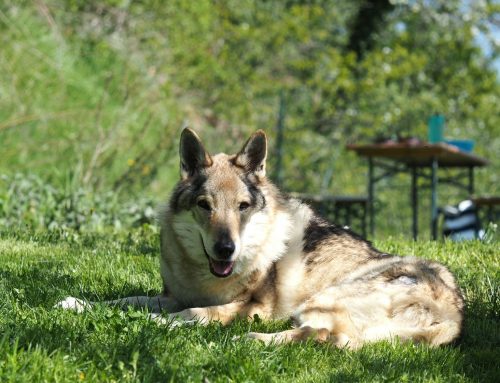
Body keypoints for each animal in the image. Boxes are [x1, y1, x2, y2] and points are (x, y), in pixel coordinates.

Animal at [59, 130, 464, 352]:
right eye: (205, 206)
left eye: (242, 207)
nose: (226, 249)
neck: (205, 279)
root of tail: (455, 316)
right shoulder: (171, 295)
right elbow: (125, 301)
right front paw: (78, 303)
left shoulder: (248, 308)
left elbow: (190, 314)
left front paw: (161, 324)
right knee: (327, 338)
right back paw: (247, 342)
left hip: (319, 300)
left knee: (326, 337)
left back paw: (240, 341)